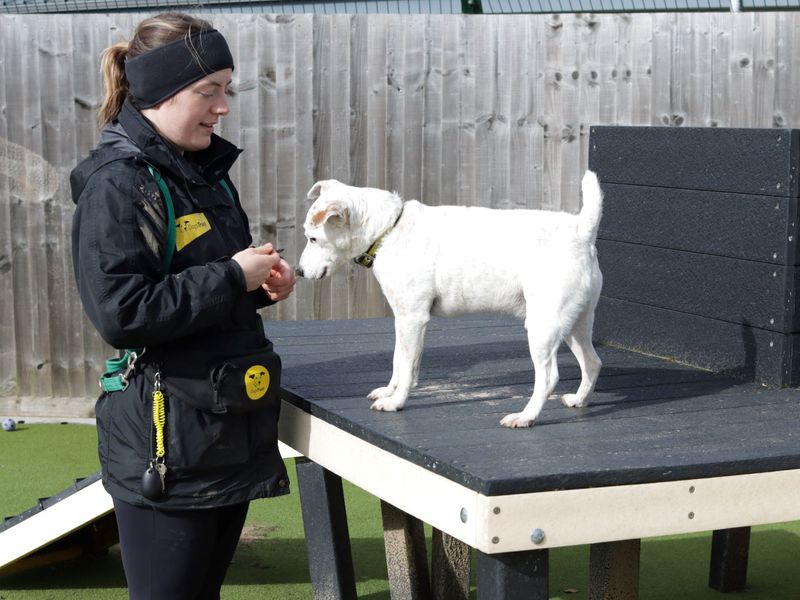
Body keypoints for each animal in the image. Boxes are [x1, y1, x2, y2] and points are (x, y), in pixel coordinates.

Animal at [296, 171, 604, 428]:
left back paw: (525, 417)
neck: (389, 230)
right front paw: (389, 391)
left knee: (549, 377)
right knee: (592, 362)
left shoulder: (414, 319)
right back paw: (578, 400)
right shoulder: (404, 319)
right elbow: (400, 360)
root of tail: (580, 230)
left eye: (313, 239)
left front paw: (396, 402)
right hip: (574, 326)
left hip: (542, 329)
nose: (298, 272)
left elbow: (406, 367)